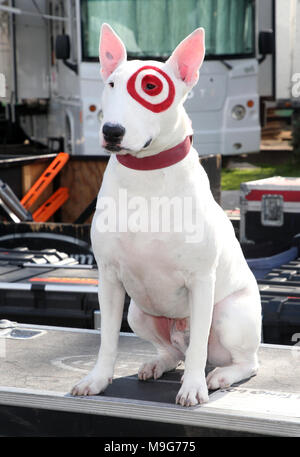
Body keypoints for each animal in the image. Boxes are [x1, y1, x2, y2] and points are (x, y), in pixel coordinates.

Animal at [71, 23, 262, 404]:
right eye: (111, 84)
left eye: (151, 87)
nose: (111, 131)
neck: (146, 173)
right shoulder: (110, 279)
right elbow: (107, 340)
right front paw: (97, 380)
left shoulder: (201, 280)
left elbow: (199, 348)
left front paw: (193, 389)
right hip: (138, 312)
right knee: (174, 351)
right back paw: (156, 363)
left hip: (229, 314)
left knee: (241, 360)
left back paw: (220, 375)